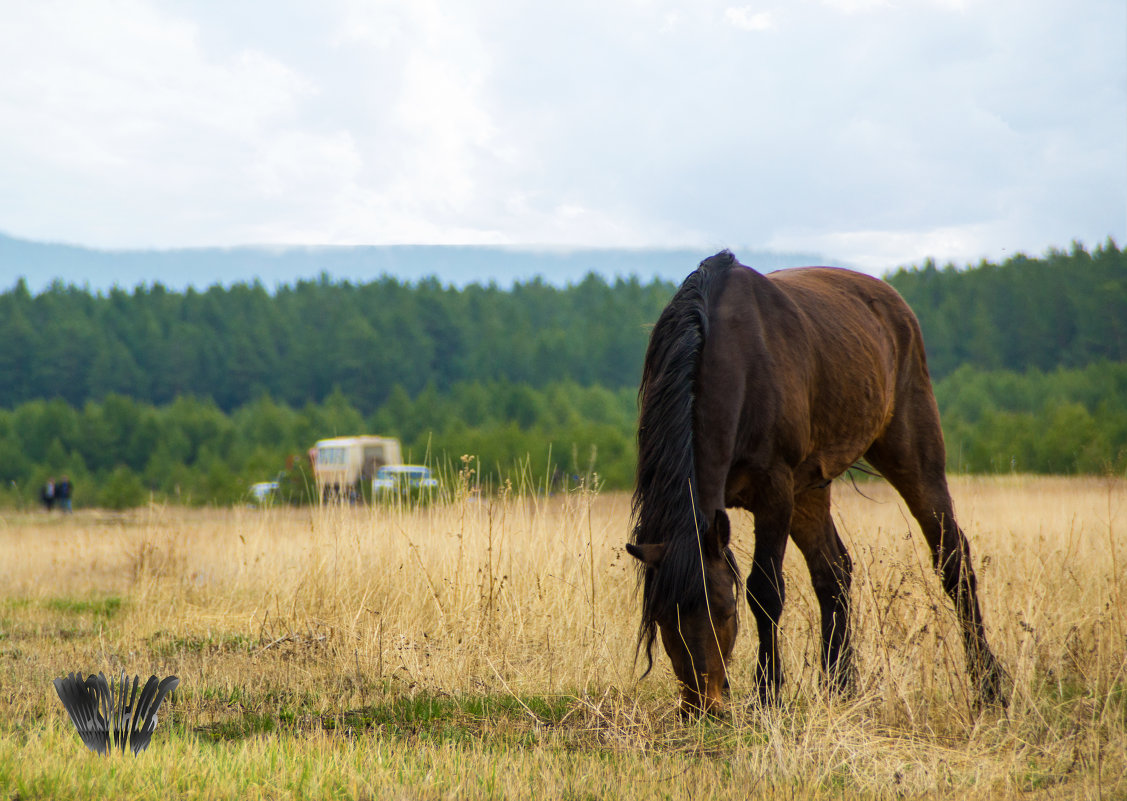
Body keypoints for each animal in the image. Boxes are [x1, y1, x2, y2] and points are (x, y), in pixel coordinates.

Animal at [626, 250, 1005, 716]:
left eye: (724, 609)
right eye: (663, 618)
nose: (702, 706)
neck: (735, 360)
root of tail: (893, 303)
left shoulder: (774, 492)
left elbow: (765, 591)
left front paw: (768, 693)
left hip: (913, 458)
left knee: (953, 562)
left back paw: (989, 689)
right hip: (810, 490)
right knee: (834, 571)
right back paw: (840, 686)